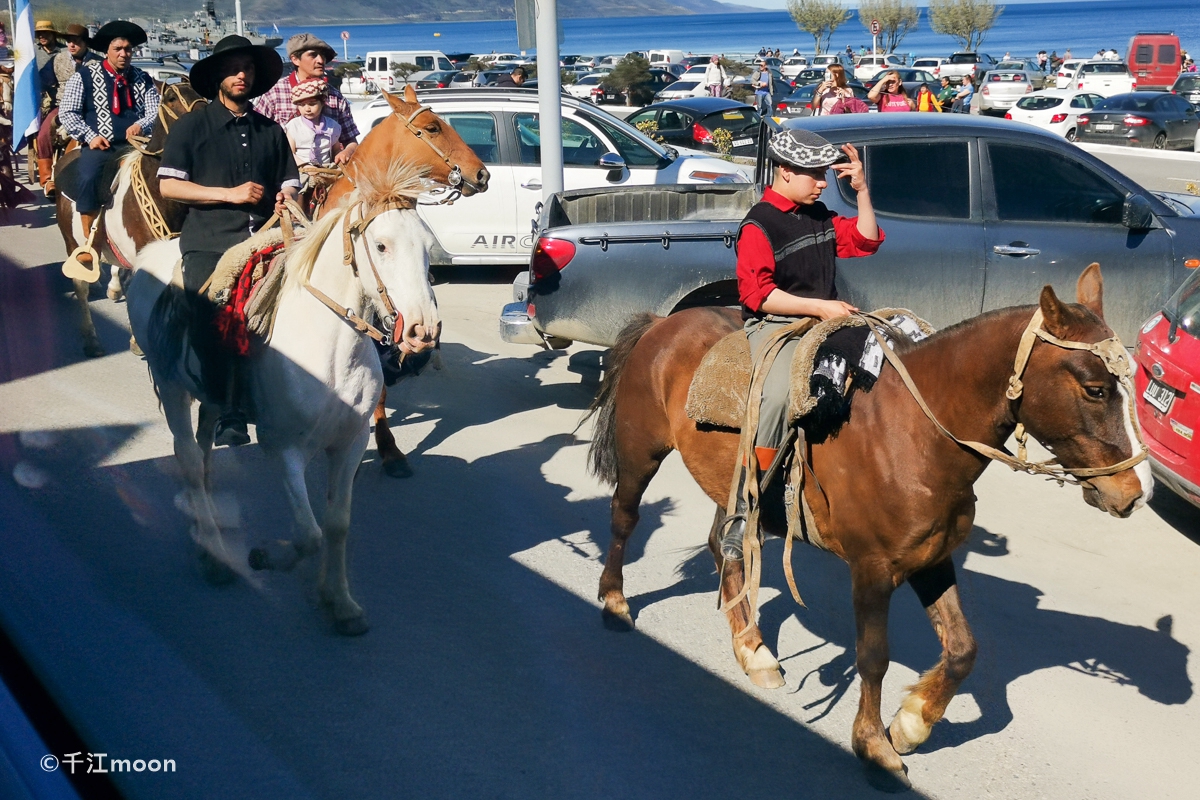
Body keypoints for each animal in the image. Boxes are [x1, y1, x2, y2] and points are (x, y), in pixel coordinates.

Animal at [125, 160, 441, 638]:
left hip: (210, 396)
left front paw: (340, 602)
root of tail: (149, 255)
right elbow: (308, 535)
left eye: (427, 247)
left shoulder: (349, 444)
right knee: (187, 458)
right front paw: (265, 557)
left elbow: (336, 524)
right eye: (382, 245)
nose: (424, 331)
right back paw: (212, 555)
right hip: (170, 385)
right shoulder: (284, 447)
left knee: (204, 450)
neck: (331, 345)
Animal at [588, 266, 1152, 791]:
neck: (912, 433)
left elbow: (963, 649)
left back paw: (753, 649)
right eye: (1096, 388)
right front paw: (874, 746)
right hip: (641, 453)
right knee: (625, 519)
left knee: (726, 548)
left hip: (736, 487)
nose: (1134, 492)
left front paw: (912, 722)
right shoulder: (873, 570)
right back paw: (615, 602)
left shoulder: (931, 560)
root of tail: (662, 323)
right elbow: (874, 657)